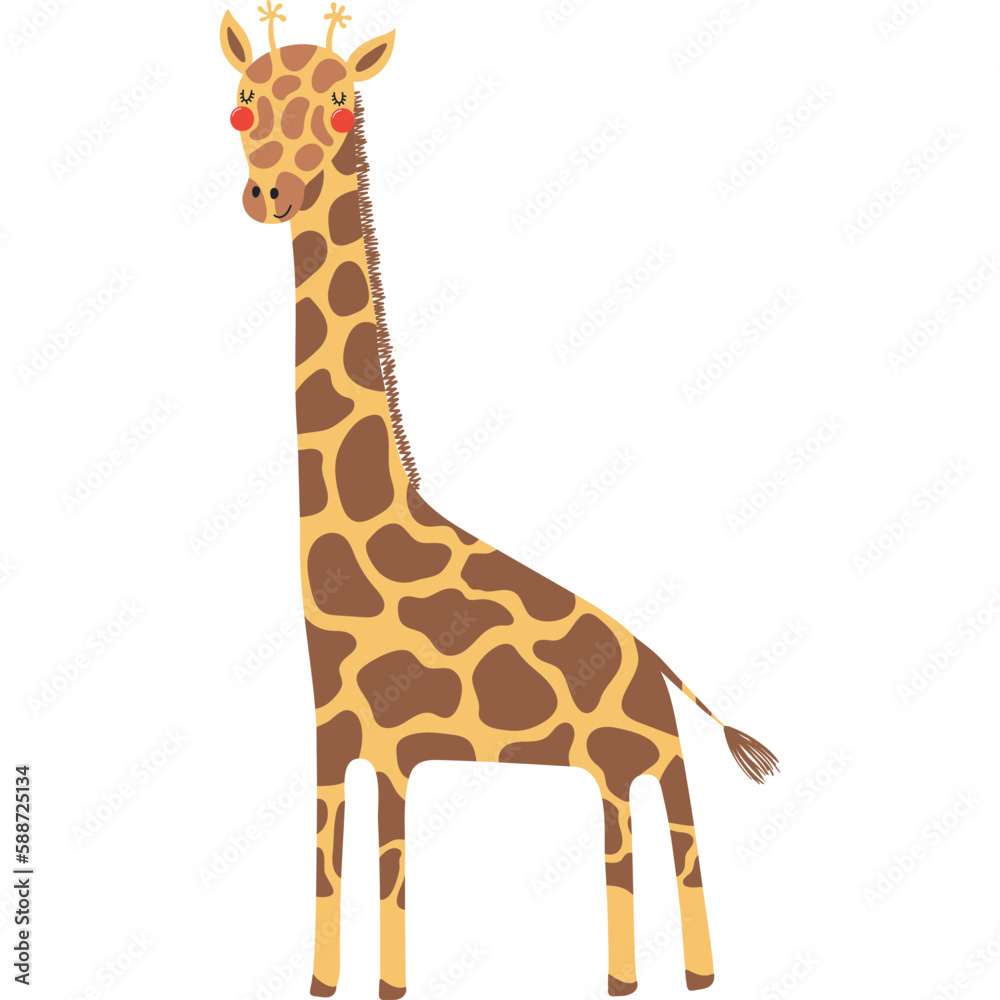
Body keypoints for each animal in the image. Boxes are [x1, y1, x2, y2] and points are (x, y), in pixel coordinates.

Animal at [219, 6, 778, 997]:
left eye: (339, 102)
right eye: (244, 99)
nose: (269, 194)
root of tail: (660, 666)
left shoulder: (392, 745)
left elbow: (389, 886)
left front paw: (388, 986)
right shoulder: (335, 733)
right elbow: (329, 866)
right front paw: (321, 984)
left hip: (636, 757)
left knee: (663, 847)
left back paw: (664, 979)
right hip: (622, 764)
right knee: (646, 850)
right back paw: (666, 978)